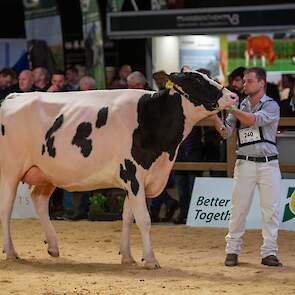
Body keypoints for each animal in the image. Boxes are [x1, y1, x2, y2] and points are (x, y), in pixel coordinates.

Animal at [0, 71, 237, 268]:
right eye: (196, 80)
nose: (234, 96)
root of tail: (12, 97)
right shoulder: (133, 175)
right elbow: (144, 219)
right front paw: (151, 259)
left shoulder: (136, 181)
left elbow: (127, 217)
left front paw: (128, 256)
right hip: (10, 171)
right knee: (6, 208)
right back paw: (11, 252)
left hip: (46, 173)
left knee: (38, 200)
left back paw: (53, 246)